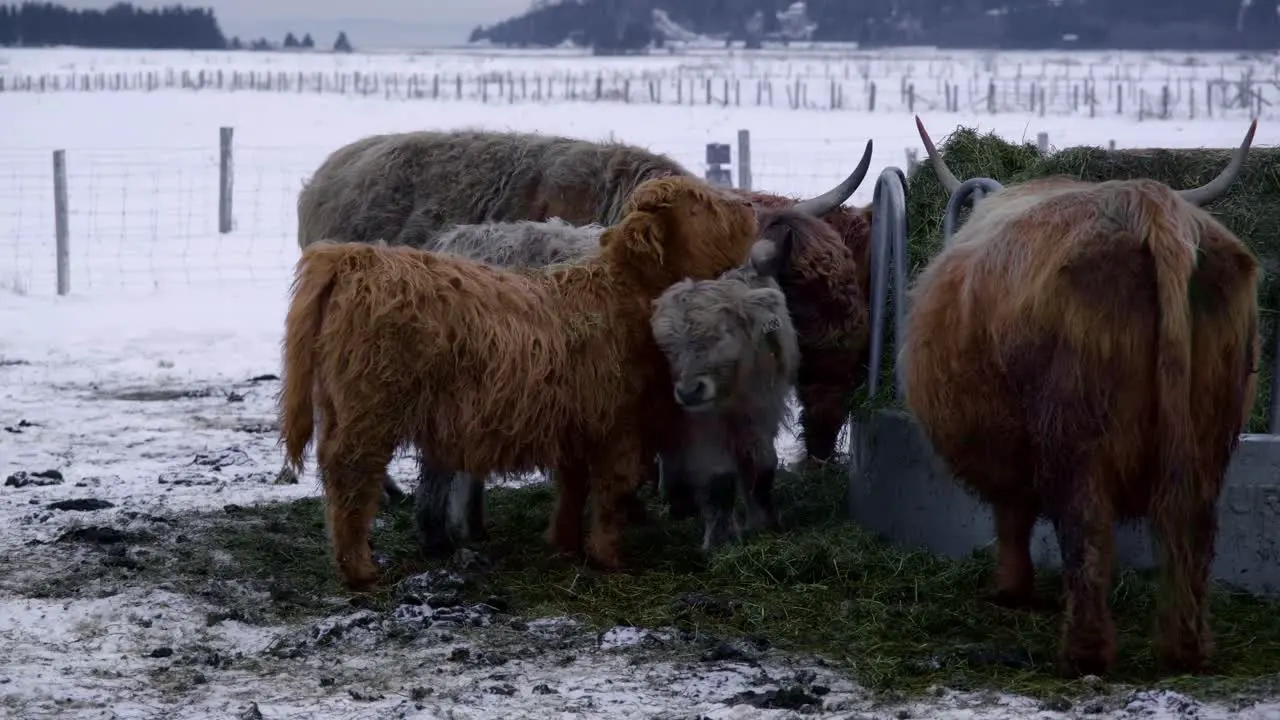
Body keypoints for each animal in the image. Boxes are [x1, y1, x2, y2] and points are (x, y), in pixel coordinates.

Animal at [280, 175, 757, 589]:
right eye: (702, 204)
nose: (751, 205)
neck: (625, 291)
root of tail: (357, 258)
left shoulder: (577, 423)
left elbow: (572, 487)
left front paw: (564, 545)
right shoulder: (618, 425)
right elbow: (610, 493)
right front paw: (610, 558)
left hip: (341, 407)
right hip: (370, 411)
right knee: (352, 477)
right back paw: (361, 569)